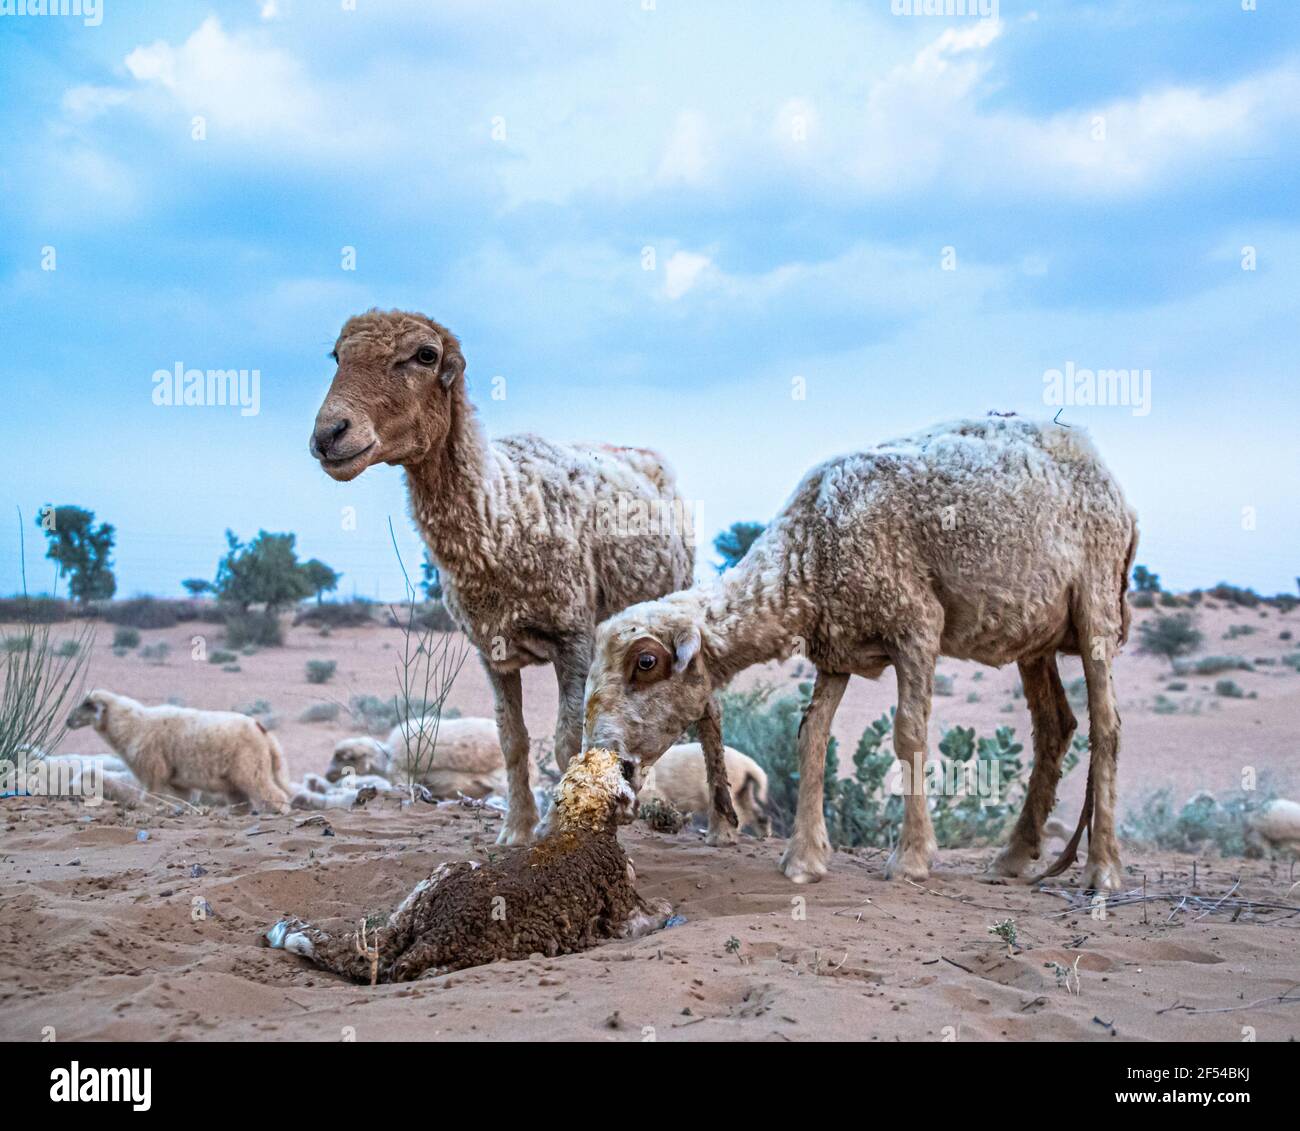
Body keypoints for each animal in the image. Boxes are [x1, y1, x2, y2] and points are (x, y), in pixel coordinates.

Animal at [65, 691, 292, 816]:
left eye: (88, 705)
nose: (68, 721)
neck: (132, 725)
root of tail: (261, 729)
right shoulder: (178, 782)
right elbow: (181, 800)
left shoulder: (153, 771)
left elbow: (150, 797)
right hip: (235, 778)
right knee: (241, 801)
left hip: (250, 768)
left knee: (273, 794)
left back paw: (280, 811)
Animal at [263, 743, 670, 982]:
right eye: (621, 765)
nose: (631, 759)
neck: (583, 825)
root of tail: (436, 932)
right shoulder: (624, 913)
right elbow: (656, 913)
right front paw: (665, 910)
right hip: (496, 946)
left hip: (434, 884)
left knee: (359, 949)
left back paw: (291, 933)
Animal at [309, 305, 696, 847]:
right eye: (337, 356)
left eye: (424, 355)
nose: (329, 434)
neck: (501, 509)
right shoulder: (490, 649)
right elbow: (512, 740)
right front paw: (516, 829)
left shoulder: (574, 638)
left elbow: (565, 743)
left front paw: (557, 830)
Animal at [585, 416, 1133, 894]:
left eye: (646, 663)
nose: (615, 766)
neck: (811, 548)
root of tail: (1106, 473)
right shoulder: (836, 652)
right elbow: (811, 738)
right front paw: (804, 859)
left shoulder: (917, 624)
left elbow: (908, 734)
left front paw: (910, 858)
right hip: (1033, 632)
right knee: (1055, 726)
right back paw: (1014, 857)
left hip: (1096, 601)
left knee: (1106, 726)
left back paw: (1102, 870)